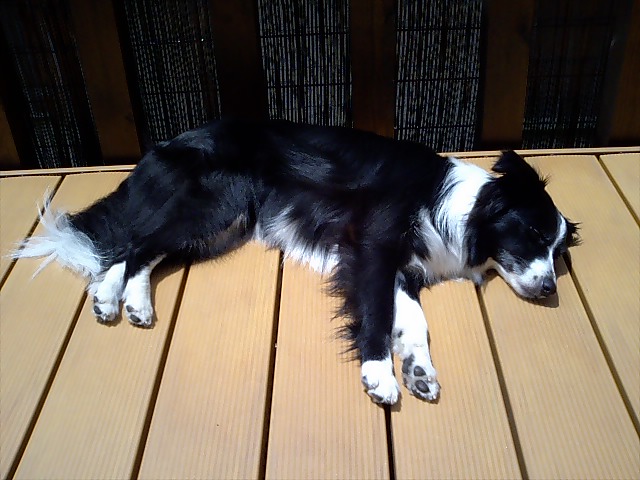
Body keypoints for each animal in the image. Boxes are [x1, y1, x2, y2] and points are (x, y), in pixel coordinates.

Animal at [13, 118, 579, 405]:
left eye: (559, 254)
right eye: (532, 234)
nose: (550, 289)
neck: (461, 208)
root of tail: (169, 142)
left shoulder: (403, 269)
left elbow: (414, 322)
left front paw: (418, 370)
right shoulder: (372, 247)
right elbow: (376, 317)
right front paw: (380, 375)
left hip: (223, 225)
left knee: (136, 249)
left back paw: (120, 301)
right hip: (218, 202)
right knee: (133, 246)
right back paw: (124, 300)